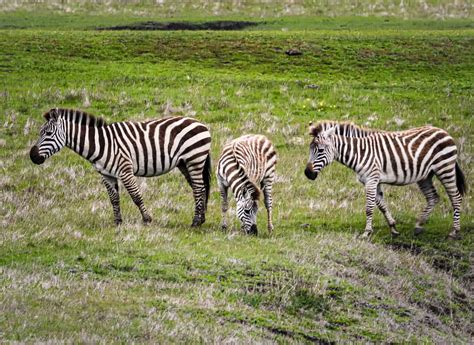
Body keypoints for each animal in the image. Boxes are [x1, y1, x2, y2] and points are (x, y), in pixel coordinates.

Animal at [29, 107, 211, 226]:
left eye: (48, 134)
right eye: (40, 132)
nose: (32, 156)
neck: (101, 144)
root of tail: (200, 123)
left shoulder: (125, 170)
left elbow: (136, 196)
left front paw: (147, 219)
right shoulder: (106, 174)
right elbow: (114, 199)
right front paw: (118, 222)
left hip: (194, 160)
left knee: (198, 188)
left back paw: (195, 222)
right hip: (184, 163)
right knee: (200, 188)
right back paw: (201, 219)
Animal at [304, 121, 466, 239]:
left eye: (320, 150)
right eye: (310, 149)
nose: (307, 174)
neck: (359, 152)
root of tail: (444, 131)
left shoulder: (371, 180)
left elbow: (369, 208)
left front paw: (366, 233)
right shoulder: (372, 181)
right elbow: (381, 205)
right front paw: (393, 227)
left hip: (444, 168)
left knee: (455, 197)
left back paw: (455, 231)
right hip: (425, 175)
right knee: (433, 197)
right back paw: (418, 226)